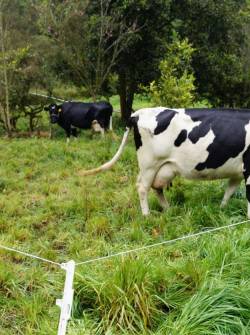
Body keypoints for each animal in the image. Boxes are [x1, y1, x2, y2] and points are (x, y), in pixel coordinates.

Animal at [80, 107, 250, 218]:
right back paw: (147, 216)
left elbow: (229, 192)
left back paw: (168, 210)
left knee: (155, 187)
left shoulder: (237, 172)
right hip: (149, 164)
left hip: (161, 167)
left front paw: (222, 209)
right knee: (142, 187)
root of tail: (138, 113)